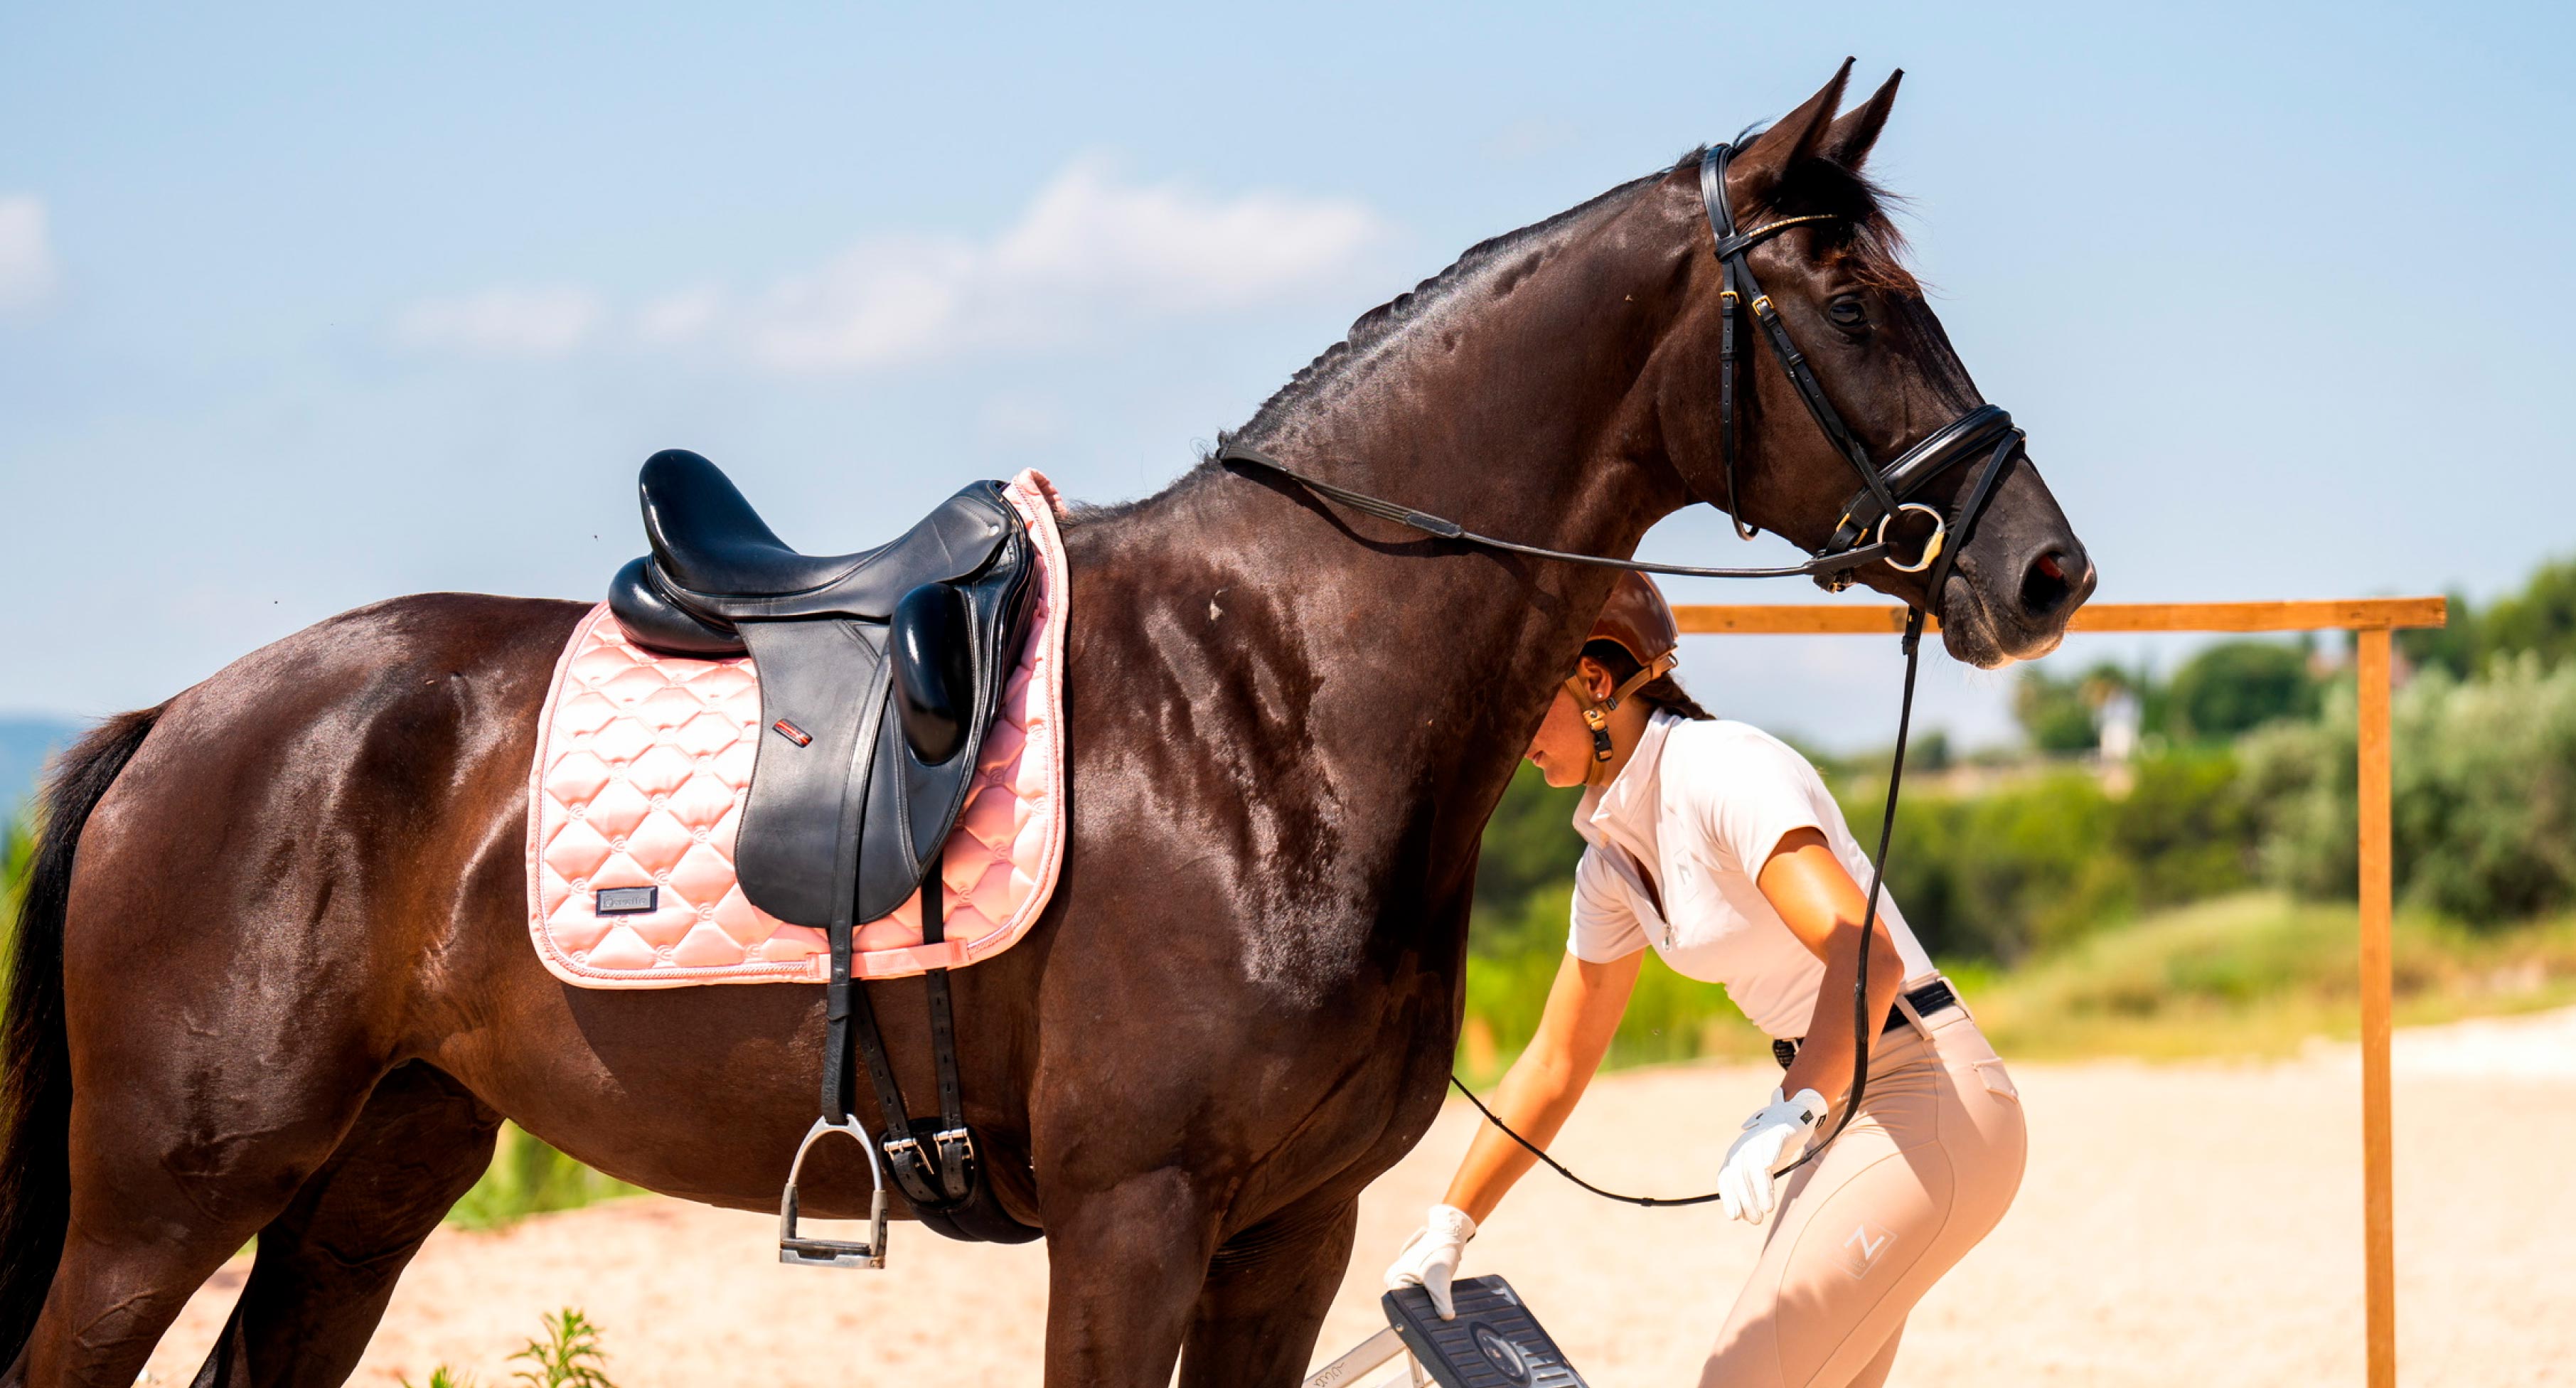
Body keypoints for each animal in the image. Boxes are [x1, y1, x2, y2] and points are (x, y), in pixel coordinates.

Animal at [1, 62, 2092, 1386]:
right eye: (1852, 299)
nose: (2043, 569)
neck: (1280, 704)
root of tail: (185, 715)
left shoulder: (1288, 1234)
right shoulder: (1129, 1215)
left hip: (375, 1173)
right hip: (166, 1193)